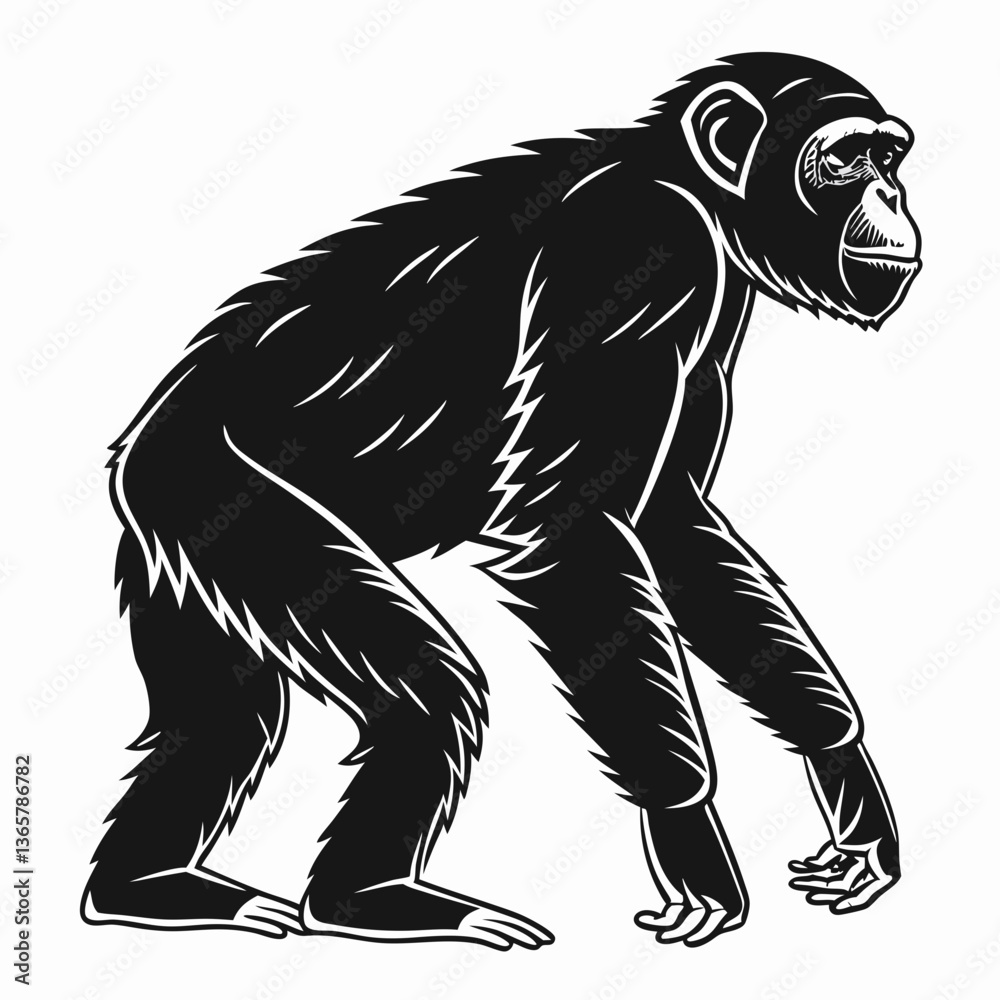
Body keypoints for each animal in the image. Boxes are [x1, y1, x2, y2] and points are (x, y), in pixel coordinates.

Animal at [82, 52, 919, 950]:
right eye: (848, 158)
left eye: (890, 157)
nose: (893, 197)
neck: (690, 186)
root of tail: (137, 448)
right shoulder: (631, 249)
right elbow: (574, 528)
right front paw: (688, 836)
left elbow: (669, 519)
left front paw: (845, 779)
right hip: (217, 495)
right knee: (425, 693)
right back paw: (368, 900)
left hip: (177, 550)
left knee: (222, 716)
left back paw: (152, 887)